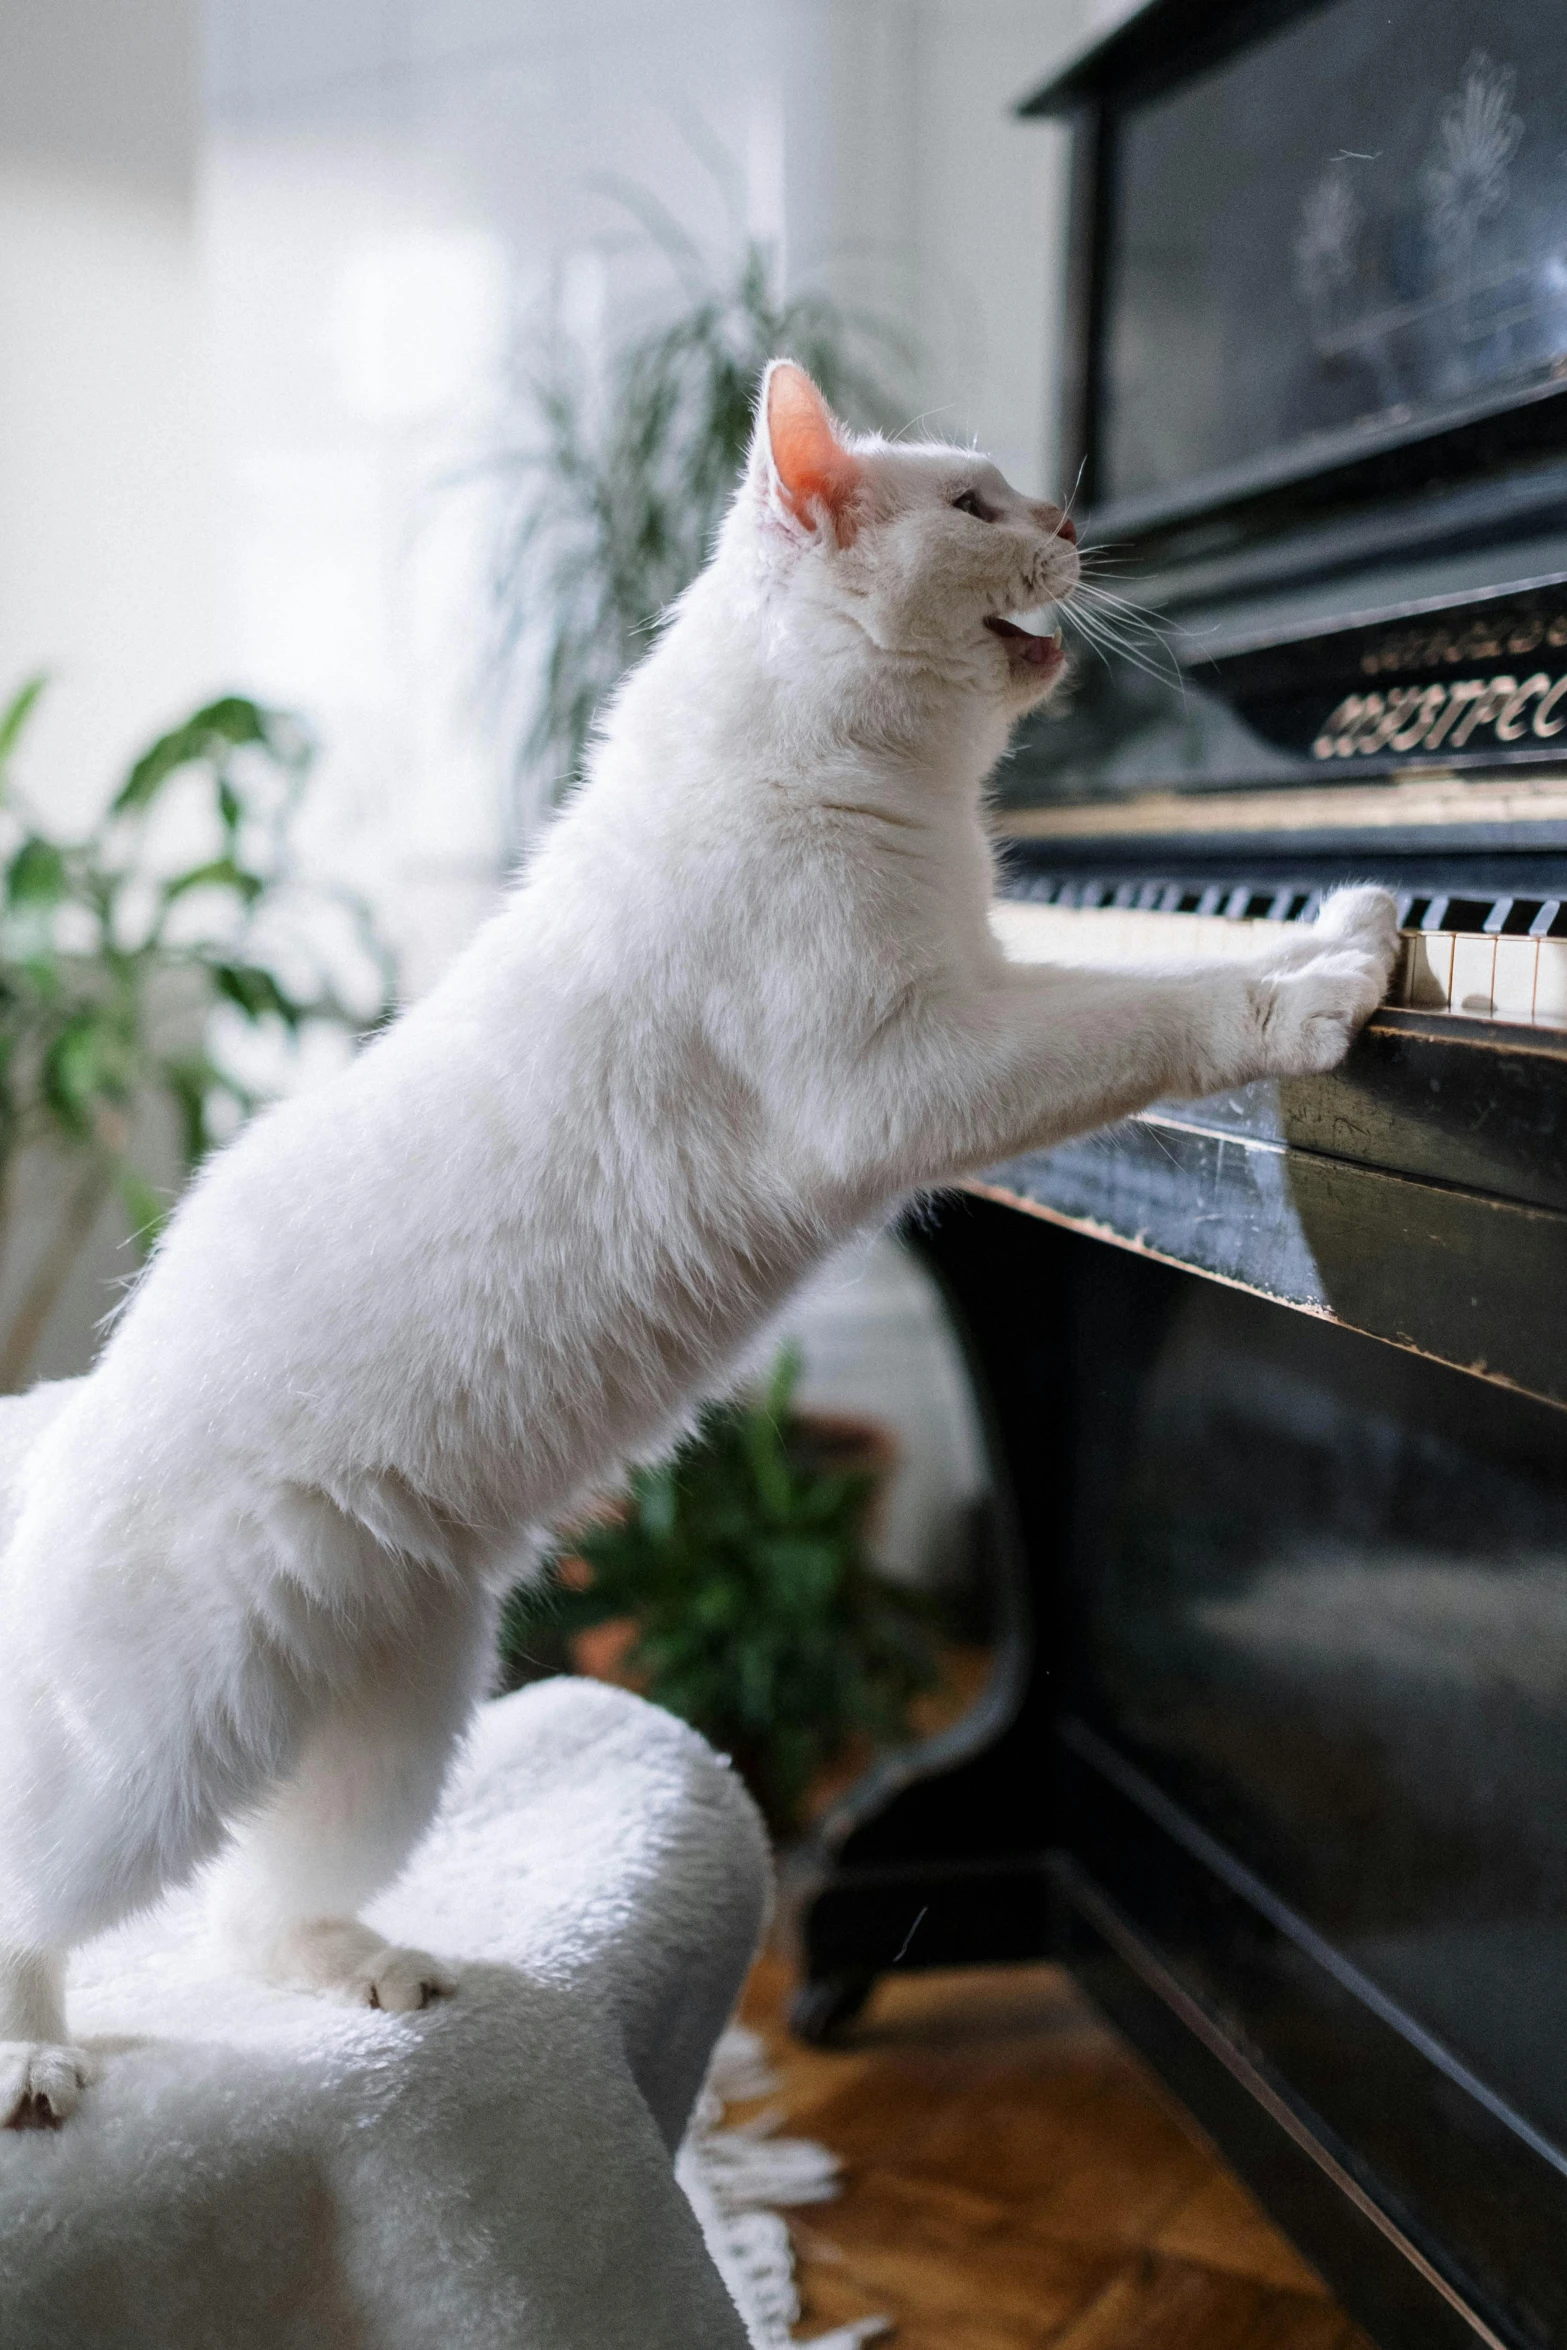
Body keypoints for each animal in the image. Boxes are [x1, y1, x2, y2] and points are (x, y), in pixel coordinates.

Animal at [0, 357, 1400, 2124]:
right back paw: (35, 2057)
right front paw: (1318, 995)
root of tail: (67, 1414)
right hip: (165, 1749)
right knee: (38, 1892)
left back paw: (380, 1978)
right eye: (972, 505)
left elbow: (1158, 978)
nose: (1072, 519)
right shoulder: (919, 1069)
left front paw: (1348, 926)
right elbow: (1163, 1016)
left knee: (255, 1914)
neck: (863, 784)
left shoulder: (991, 983)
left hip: (400, 1719)